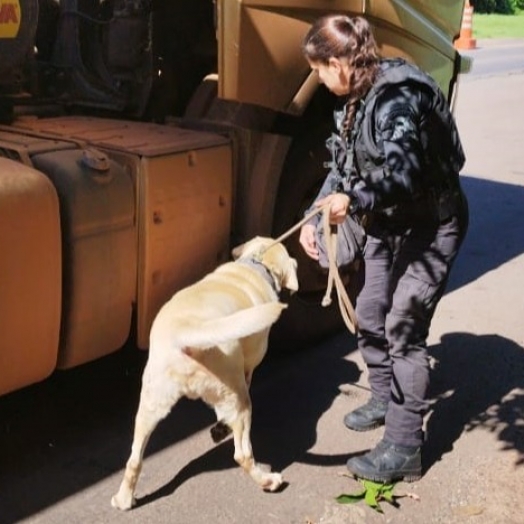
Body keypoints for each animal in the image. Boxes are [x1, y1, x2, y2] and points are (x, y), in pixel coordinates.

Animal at [112, 236, 296, 508]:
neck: (256, 262)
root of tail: (186, 331)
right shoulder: (248, 368)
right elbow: (248, 379)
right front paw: (222, 429)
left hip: (150, 405)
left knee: (134, 458)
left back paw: (124, 499)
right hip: (239, 399)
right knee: (242, 454)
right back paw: (268, 480)